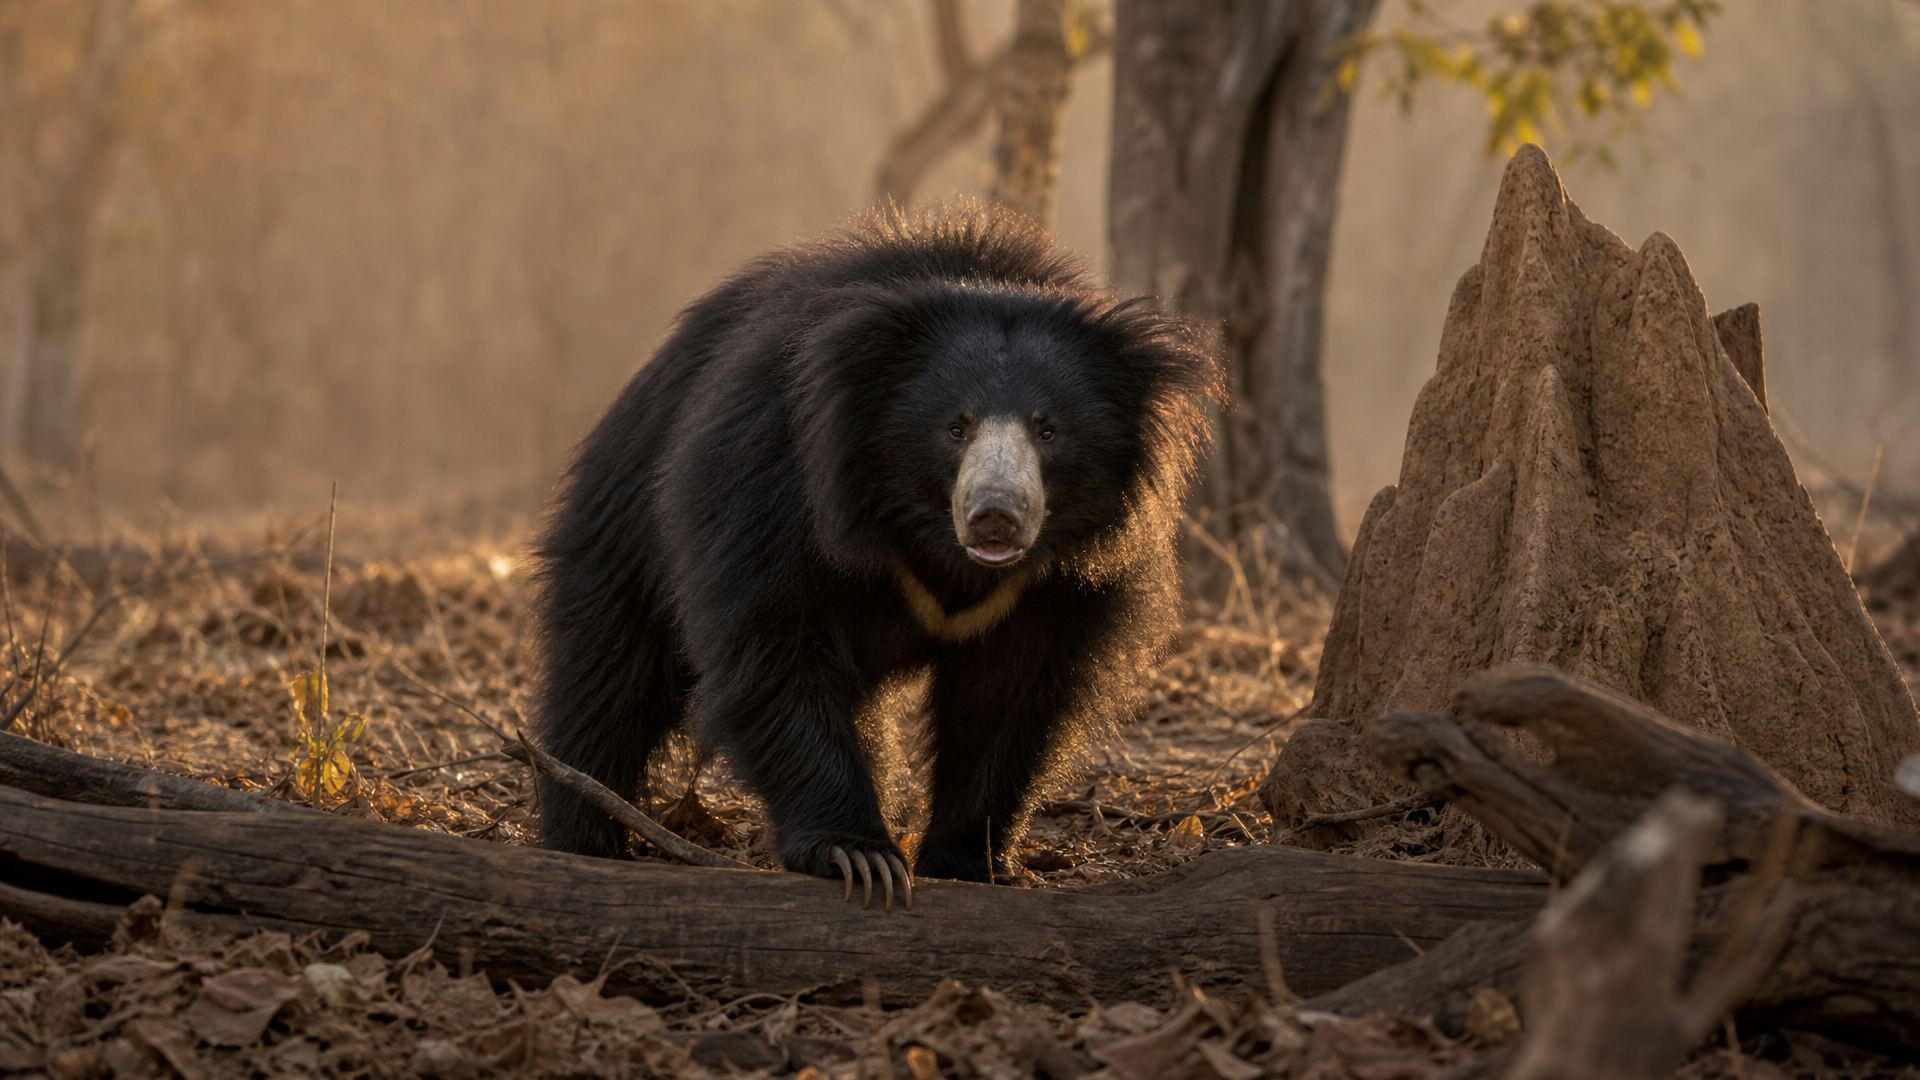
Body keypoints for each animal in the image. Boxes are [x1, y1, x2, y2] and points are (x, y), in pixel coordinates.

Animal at [528, 204, 1221, 905]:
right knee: (611, 669)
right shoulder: (776, 480)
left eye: (1047, 430)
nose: (995, 514)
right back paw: (585, 832)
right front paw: (858, 855)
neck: (934, 541)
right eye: (955, 427)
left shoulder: (1060, 581)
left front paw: (972, 858)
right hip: (627, 514)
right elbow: (777, 646)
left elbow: (1012, 693)